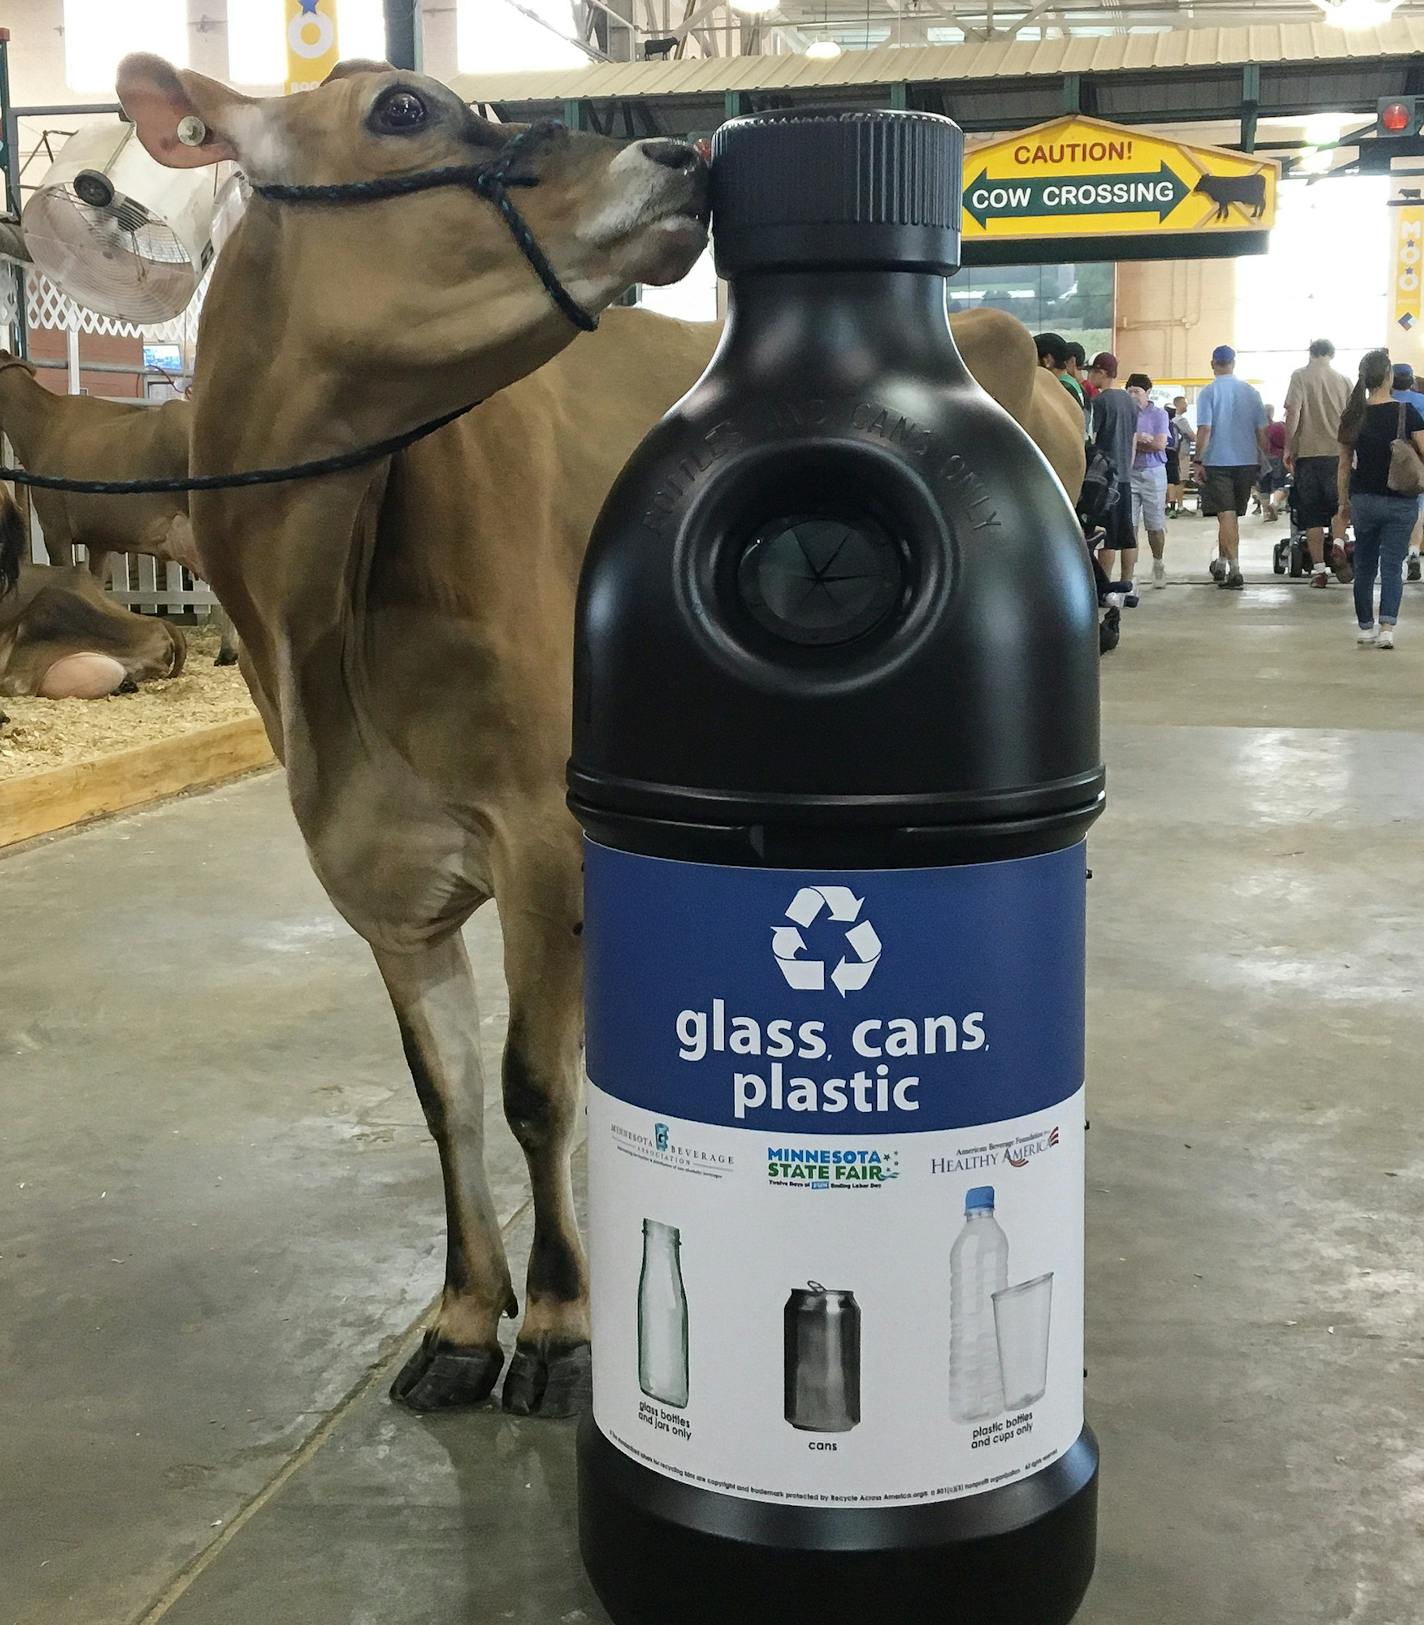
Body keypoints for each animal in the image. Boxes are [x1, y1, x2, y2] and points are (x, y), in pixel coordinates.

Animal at [117, 57, 1085, 1417]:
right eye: (402, 109)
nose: (681, 154)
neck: (317, 628)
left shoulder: (538, 832)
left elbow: (535, 1087)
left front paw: (561, 1324)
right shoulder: (374, 873)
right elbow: (447, 1095)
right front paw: (462, 1316)